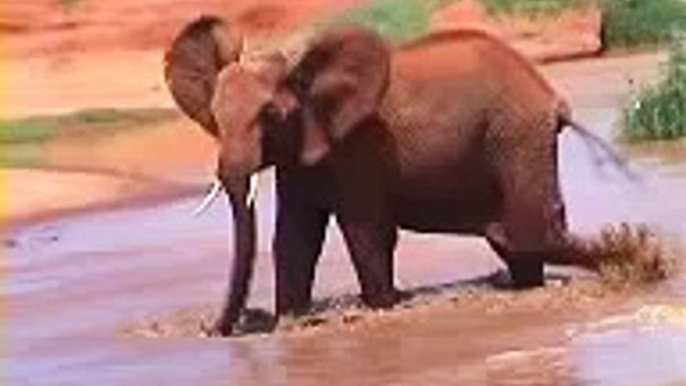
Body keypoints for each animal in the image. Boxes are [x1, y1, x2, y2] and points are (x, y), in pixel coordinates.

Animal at [165, 15, 628, 334]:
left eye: (271, 116)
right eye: (215, 119)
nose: (215, 330)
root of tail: (550, 94)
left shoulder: (360, 146)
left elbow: (364, 228)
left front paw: (384, 305)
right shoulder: (303, 154)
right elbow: (295, 239)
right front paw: (291, 319)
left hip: (516, 136)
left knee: (527, 232)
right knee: (522, 242)